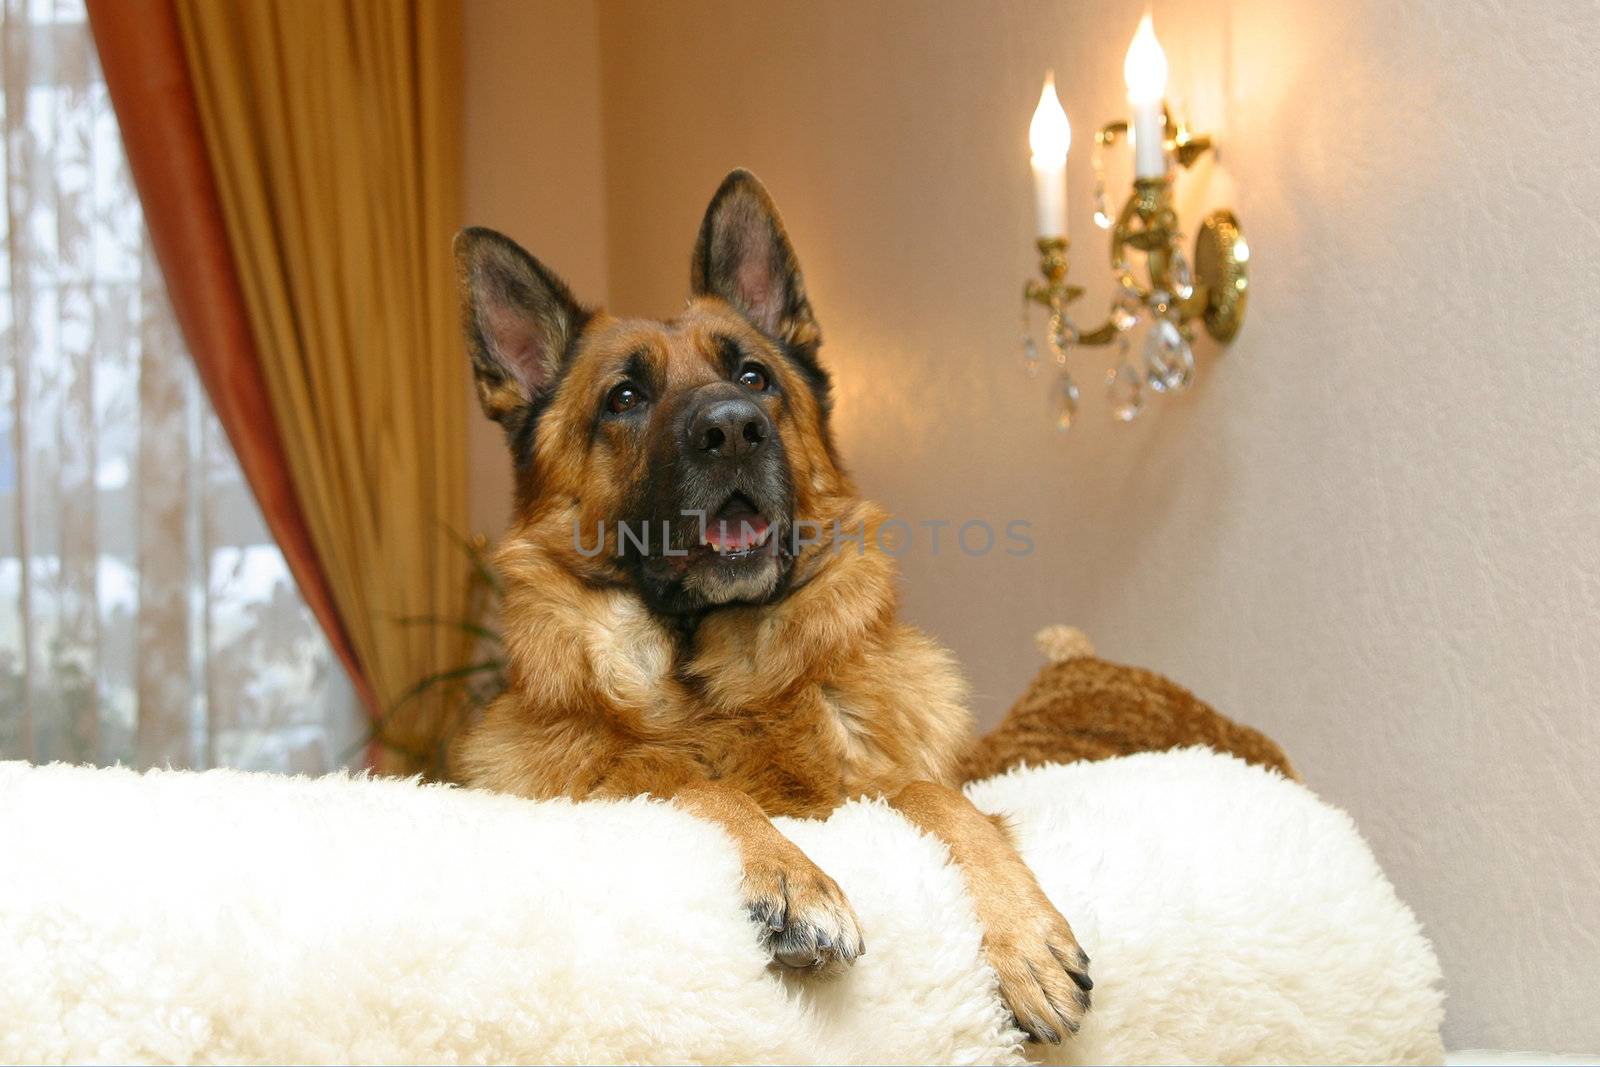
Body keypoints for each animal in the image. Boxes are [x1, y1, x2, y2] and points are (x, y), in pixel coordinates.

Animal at [457, 168, 1094, 1043]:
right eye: (625, 397)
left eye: (755, 378)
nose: (735, 427)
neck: (717, 682)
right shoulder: (588, 792)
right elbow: (684, 781)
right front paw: (788, 872)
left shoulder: (880, 785)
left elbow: (936, 797)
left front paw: (1024, 932)